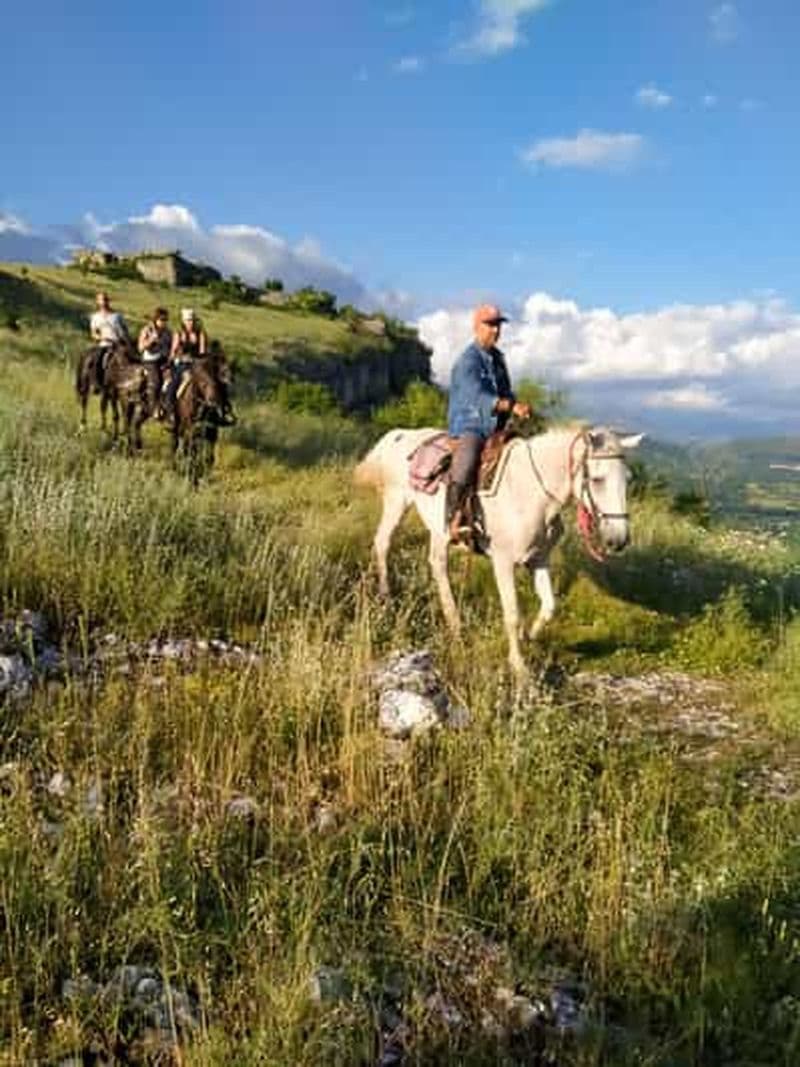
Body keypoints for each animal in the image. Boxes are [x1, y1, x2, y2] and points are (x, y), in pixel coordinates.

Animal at [354, 425, 644, 675]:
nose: (618, 540)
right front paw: (519, 667)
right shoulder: (503, 563)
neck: (531, 493)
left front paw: (529, 637)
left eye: (628, 480)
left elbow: (549, 606)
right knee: (385, 543)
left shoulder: (539, 559)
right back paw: (390, 597)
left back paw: (451, 620)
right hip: (397, 503)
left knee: (436, 564)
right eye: (596, 479)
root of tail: (401, 434)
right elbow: (512, 614)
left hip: (437, 528)